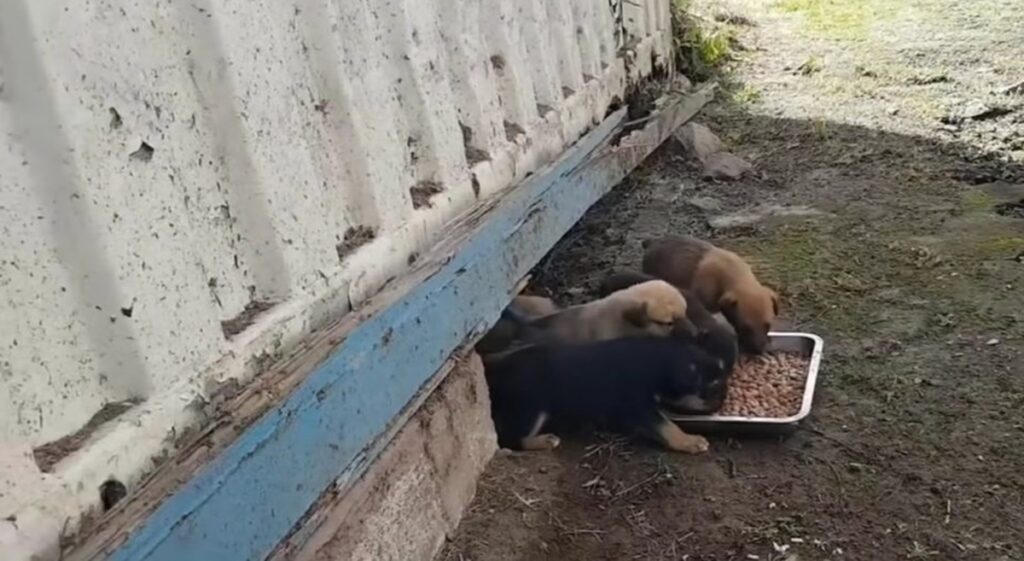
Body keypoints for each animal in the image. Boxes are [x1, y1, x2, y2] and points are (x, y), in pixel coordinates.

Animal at [481, 335, 729, 454]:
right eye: (713, 387)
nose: (723, 400)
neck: (654, 363)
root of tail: (497, 371)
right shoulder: (639, 406)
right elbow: (667, 426)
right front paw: (690, 441)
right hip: (530, 409)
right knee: (509, 438)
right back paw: (545, 440)